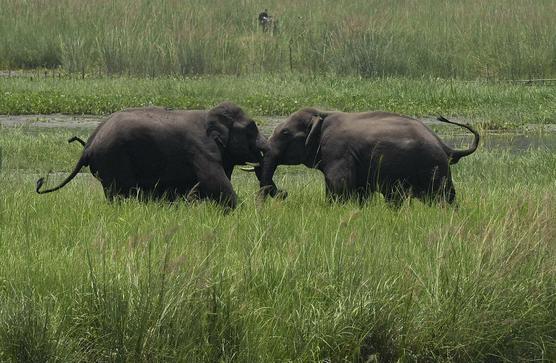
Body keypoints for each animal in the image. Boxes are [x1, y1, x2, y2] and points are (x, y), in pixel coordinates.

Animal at [35, 102, 268, 210]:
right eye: (251, 129)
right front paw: (241, 211)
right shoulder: (201, 149)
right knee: (118, 192)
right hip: (112, 160)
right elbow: (215, 182)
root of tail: (88, 146)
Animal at [258, 108, 480, 206]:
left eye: (285, 133)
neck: (321, 114)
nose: (284, 194)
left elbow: (339, 184)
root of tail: (445, 146)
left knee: (443, 198)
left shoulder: (338, 151)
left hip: (434, 167)